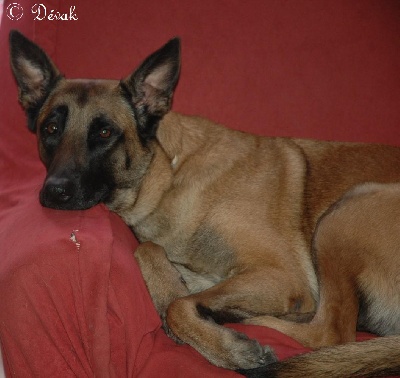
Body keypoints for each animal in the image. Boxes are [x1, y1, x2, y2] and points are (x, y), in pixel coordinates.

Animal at [7, 31, 400, 376]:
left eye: (104, 133)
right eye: (50, 129)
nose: (54, 193)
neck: (168, 174)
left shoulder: (281, 274)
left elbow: (179, 307)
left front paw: (229, 348)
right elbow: (150, 254)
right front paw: (171, 289)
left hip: (347, 211)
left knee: (331, 331)